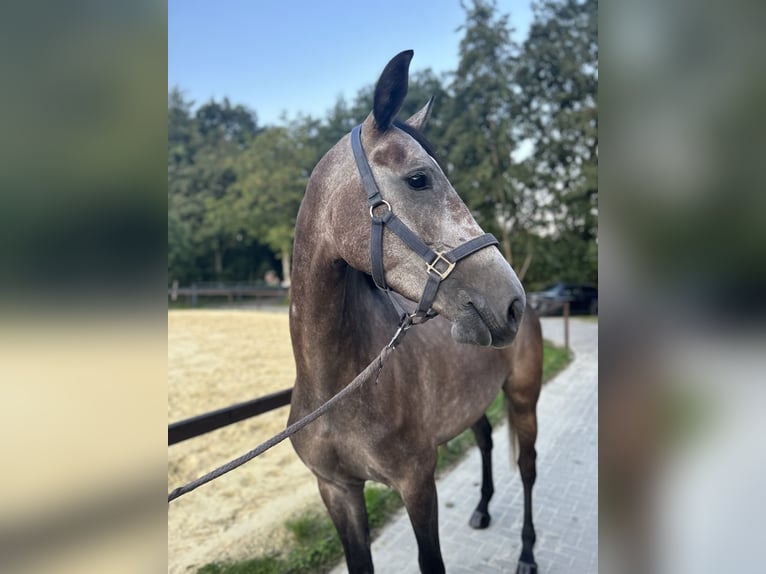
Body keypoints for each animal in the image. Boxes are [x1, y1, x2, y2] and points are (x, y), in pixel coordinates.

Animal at [290, 50, 544, 574]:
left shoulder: (417, 485)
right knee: (486, 441)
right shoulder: (337, 491)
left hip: (524, 398)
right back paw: (482, 509)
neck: (338, 387)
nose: (510, 303)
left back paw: (527, 553)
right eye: (419, 179)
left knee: (528, 468)